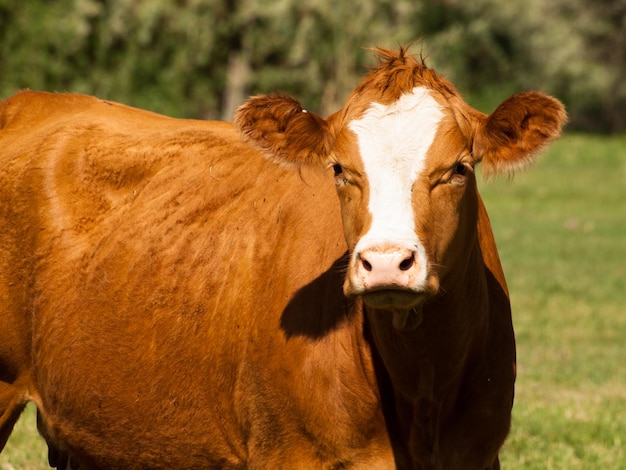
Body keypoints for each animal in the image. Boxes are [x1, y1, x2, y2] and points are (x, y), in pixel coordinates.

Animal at [0, 46, 564, 468]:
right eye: (339, 169)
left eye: (459, 169)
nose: (385, 263)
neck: (422, 385)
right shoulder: (288, 451)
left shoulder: (478, 453)